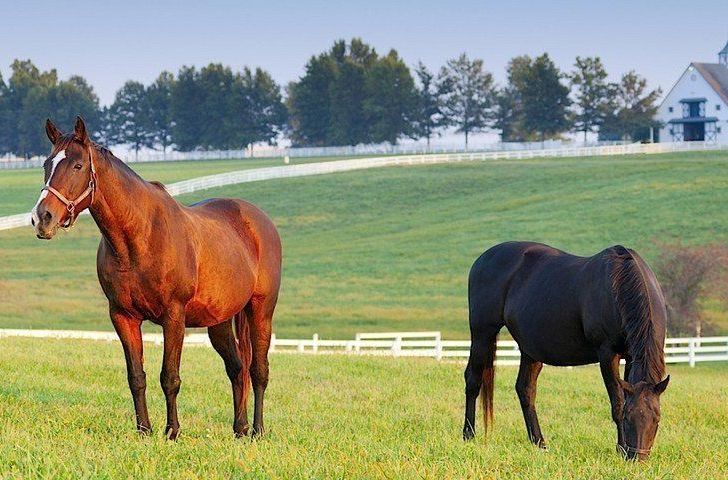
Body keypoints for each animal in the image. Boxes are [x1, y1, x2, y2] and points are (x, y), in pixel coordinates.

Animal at [32, 117, 282, 440]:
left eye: (77, 165)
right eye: (46, 164)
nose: (42, 218)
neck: (139, 238)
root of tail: (257, 220)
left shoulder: (173, 317)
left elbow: (170, 377)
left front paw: (172, 431)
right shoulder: (123, 316)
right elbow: (136, 376)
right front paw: (143, 431)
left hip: (261, 310)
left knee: (258, 371)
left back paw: (257, 431)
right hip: (220, 321)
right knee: (237, 368)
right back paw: (239, 430)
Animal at [462, 241, 670, 461]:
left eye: (657, 419)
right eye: (629, 418)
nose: (637, 457)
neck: (619, 285)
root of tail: (482, 259)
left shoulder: (630, 356)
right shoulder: (608, 354)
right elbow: (617, 403)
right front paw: (620, 448)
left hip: (530, 349)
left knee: (525, 389)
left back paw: (539, 443)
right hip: (483, 334)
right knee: (473, 380)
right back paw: (468, 435)